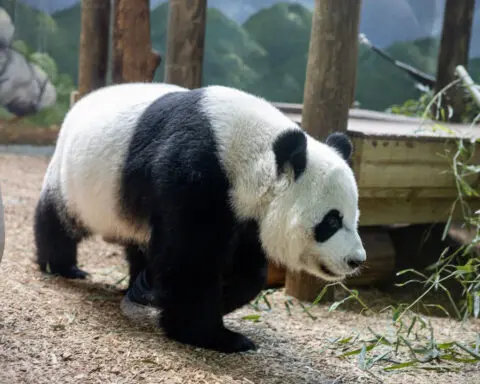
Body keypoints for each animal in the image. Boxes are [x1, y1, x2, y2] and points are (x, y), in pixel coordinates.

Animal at [32, 82, 364, 354]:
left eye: (354, 218)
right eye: (331, 222)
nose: (355, 260)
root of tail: (79, 103)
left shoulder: (243, 213)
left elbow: (248, 270)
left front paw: (220, 297)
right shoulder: (193, 172)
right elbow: (189, 260)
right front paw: (213, 336)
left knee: (138, 241)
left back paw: (138, 285)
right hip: (75, 177)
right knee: (58, 218)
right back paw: (62, 265)